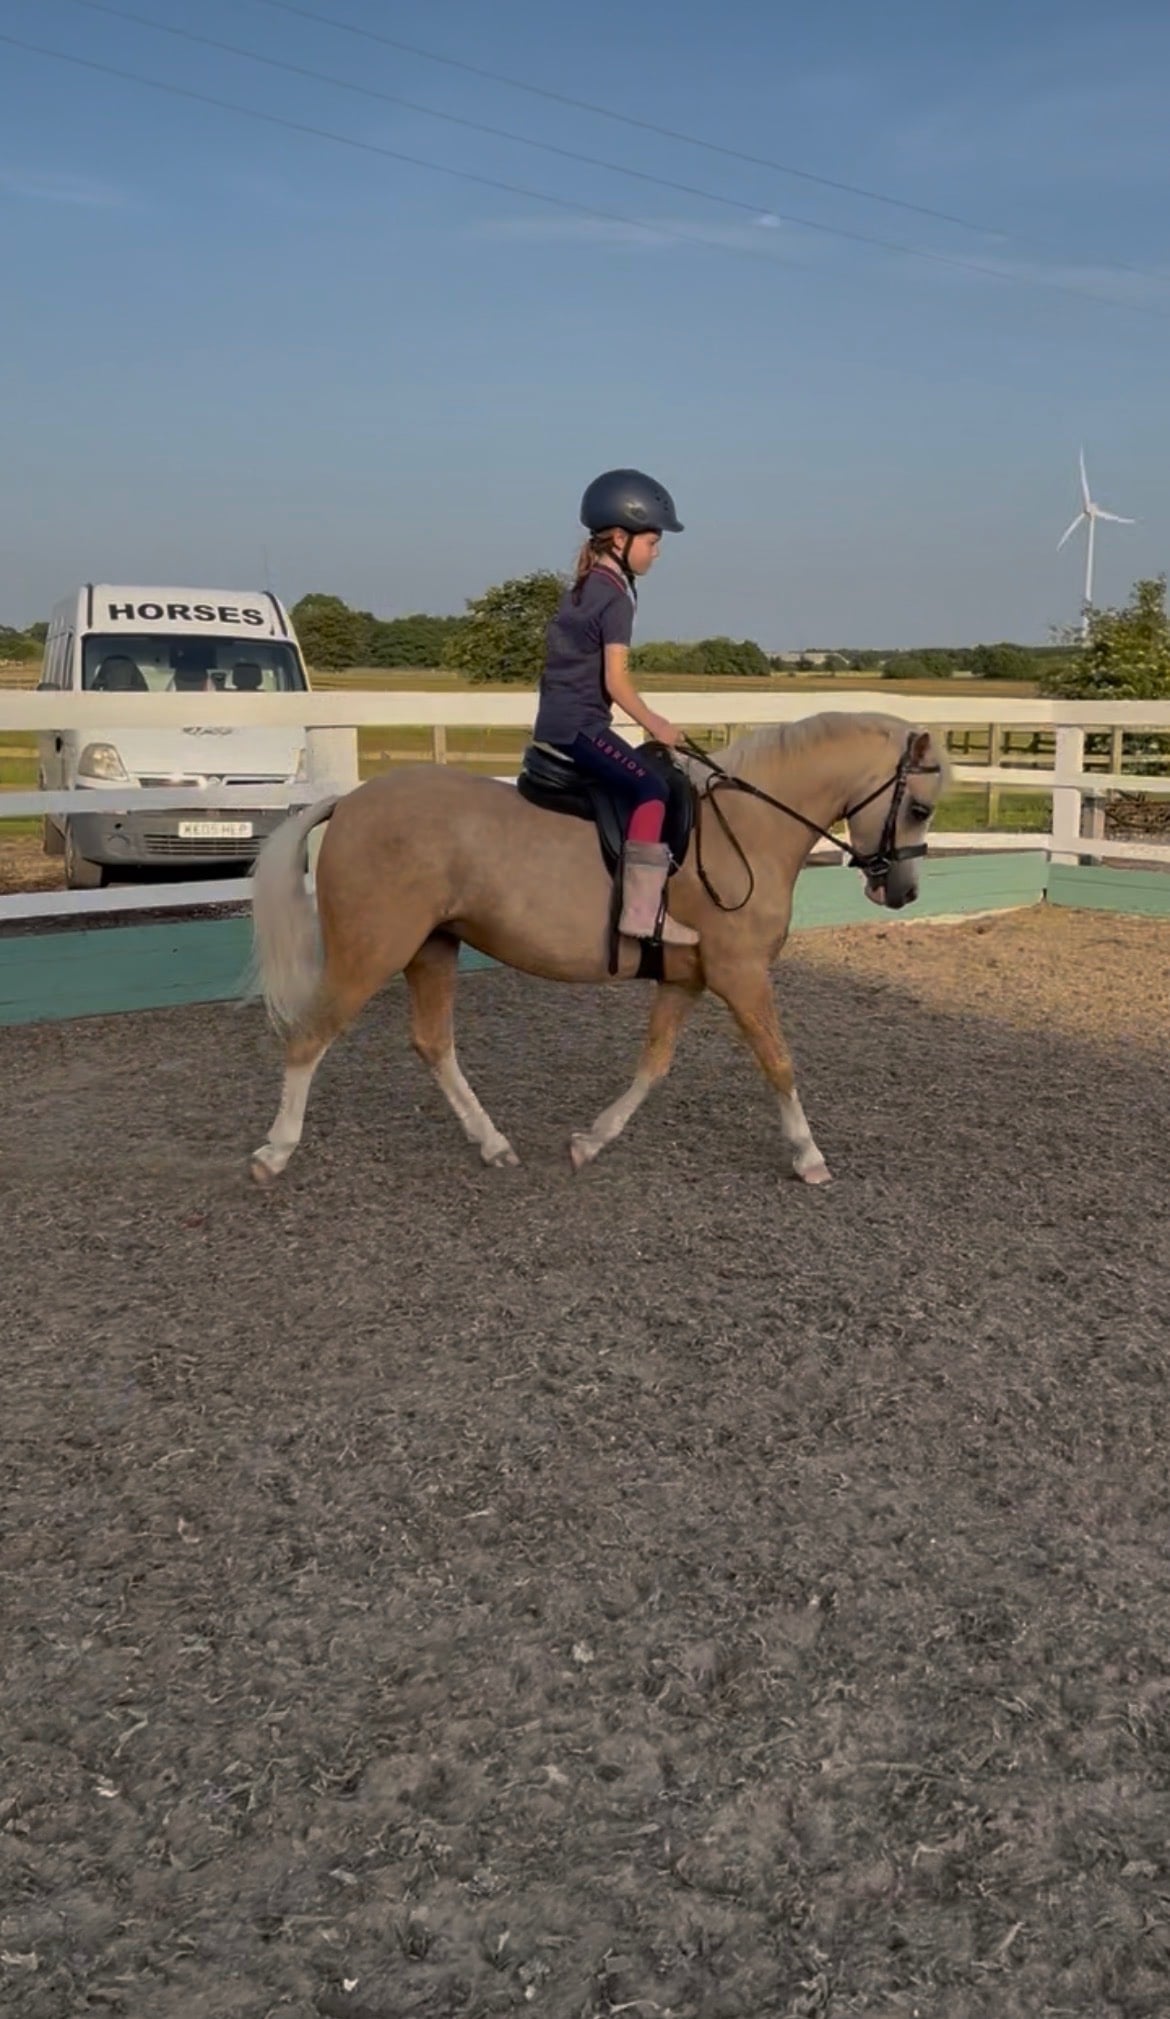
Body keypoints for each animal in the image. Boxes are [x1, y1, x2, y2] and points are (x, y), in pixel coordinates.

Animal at [245, 711, 946, 1188]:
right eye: (918, 807)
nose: (903, 891)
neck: (747, 830)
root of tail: (348, 801)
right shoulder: (741, 975)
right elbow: (779, 1063)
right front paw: (809, 1156)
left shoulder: (685, 980)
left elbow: (654, 1064)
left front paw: (592, 1141)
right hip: (371, 952)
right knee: (310, 1037)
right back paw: (274, 1152)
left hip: (432, 949)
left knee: (433, 1044)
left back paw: (492, 1143)